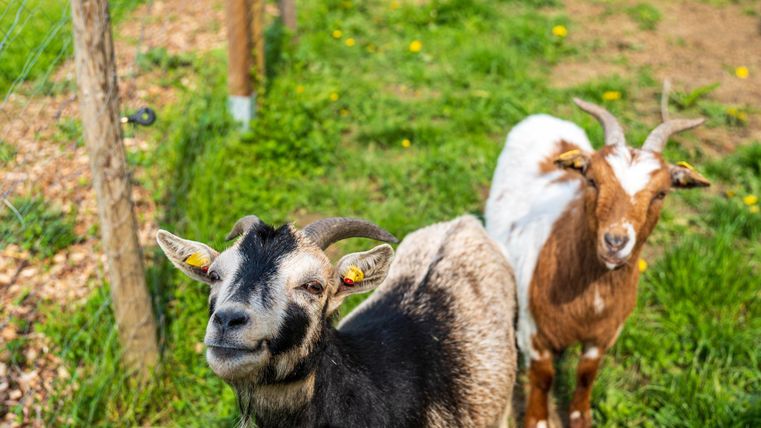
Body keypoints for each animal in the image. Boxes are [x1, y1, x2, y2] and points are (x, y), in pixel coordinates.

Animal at [485, 99, 710, 428]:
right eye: (592, 180)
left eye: (661, 193)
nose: (615, 241)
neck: (590, 300)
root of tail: (545, 118)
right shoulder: (532, 331)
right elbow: (543, 377)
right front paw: (537, 419)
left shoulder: (605, 333)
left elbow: (586, 374)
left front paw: (580, 417)